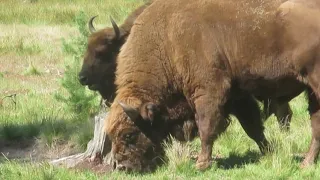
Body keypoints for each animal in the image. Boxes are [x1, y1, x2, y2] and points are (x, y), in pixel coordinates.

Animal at [102, 0, 320, 172]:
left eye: (129, 134)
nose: (122, 167)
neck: (168, 41)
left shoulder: (209, 93)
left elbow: (207, 127)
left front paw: (201, 164)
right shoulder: (237, 98)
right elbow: (252, 127)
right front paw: (269, 152)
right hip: (312, 92)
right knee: (316, 124)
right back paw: (306, 163)